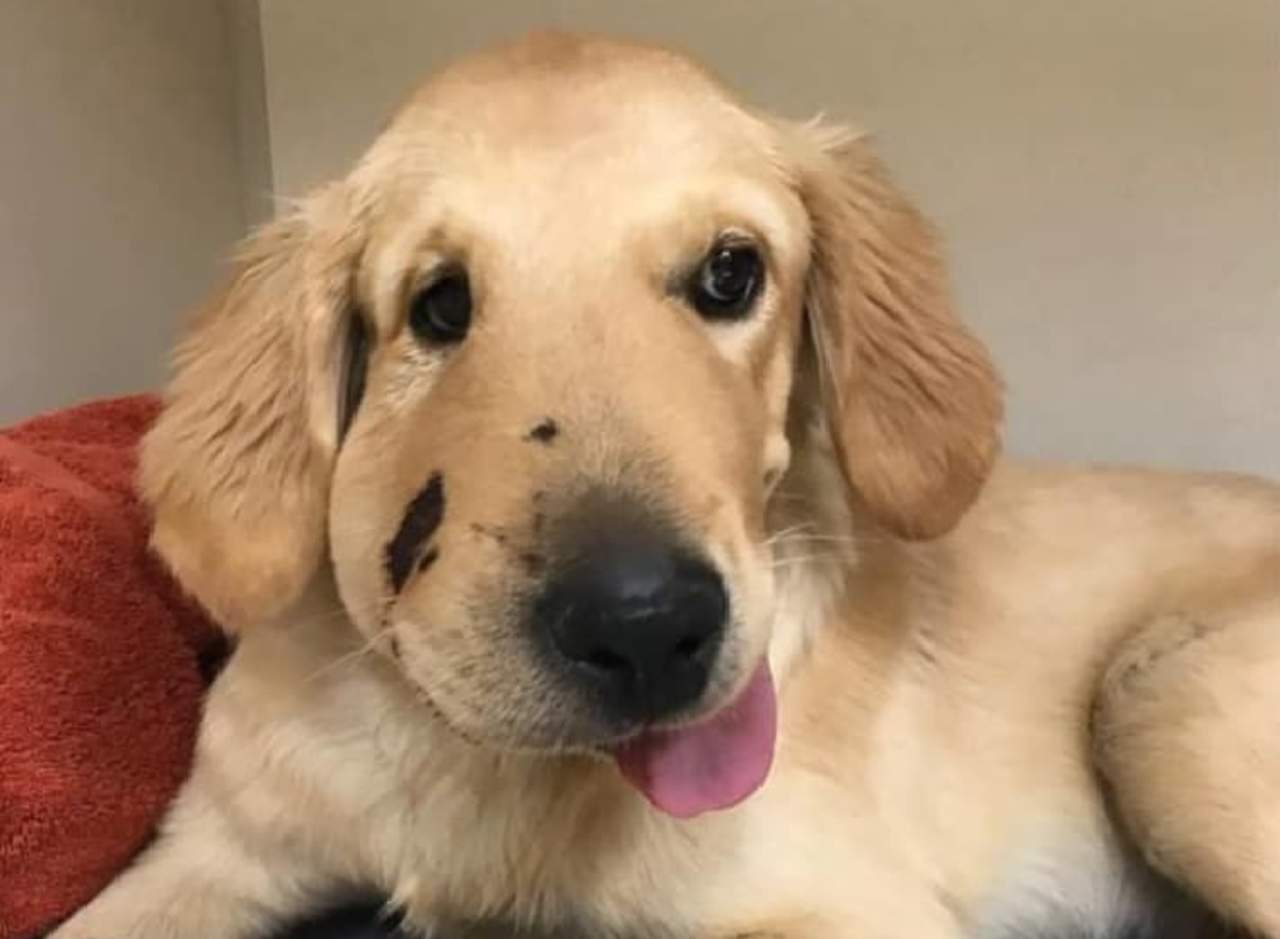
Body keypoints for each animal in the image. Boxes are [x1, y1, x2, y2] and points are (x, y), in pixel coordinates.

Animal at [53, 31, 1280, 939]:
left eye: (731, 272)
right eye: (438, 303)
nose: (645, 627)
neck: (469, 756)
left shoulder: (850, 905)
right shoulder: (207, 851)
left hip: (1160, 691)